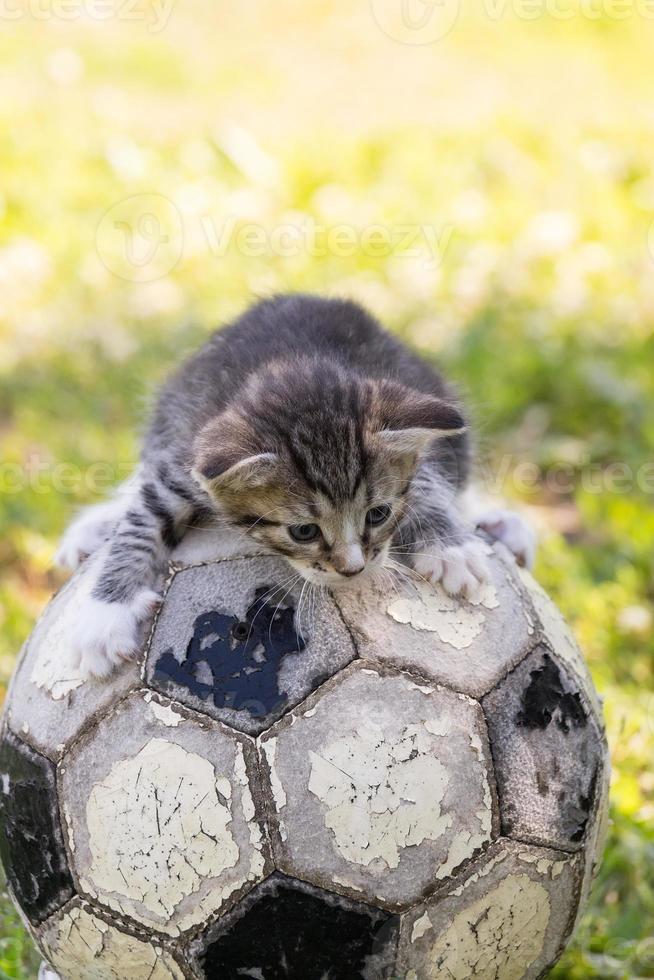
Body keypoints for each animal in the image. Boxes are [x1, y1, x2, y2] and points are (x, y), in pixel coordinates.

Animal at [59, 294, 536, 676]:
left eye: (377, 514)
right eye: (303, 531)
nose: (353, 569)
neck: (293, 366)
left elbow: (428, 482)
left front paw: (448, 545)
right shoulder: (184, 457)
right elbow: (140, 522)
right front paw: (104, 616)